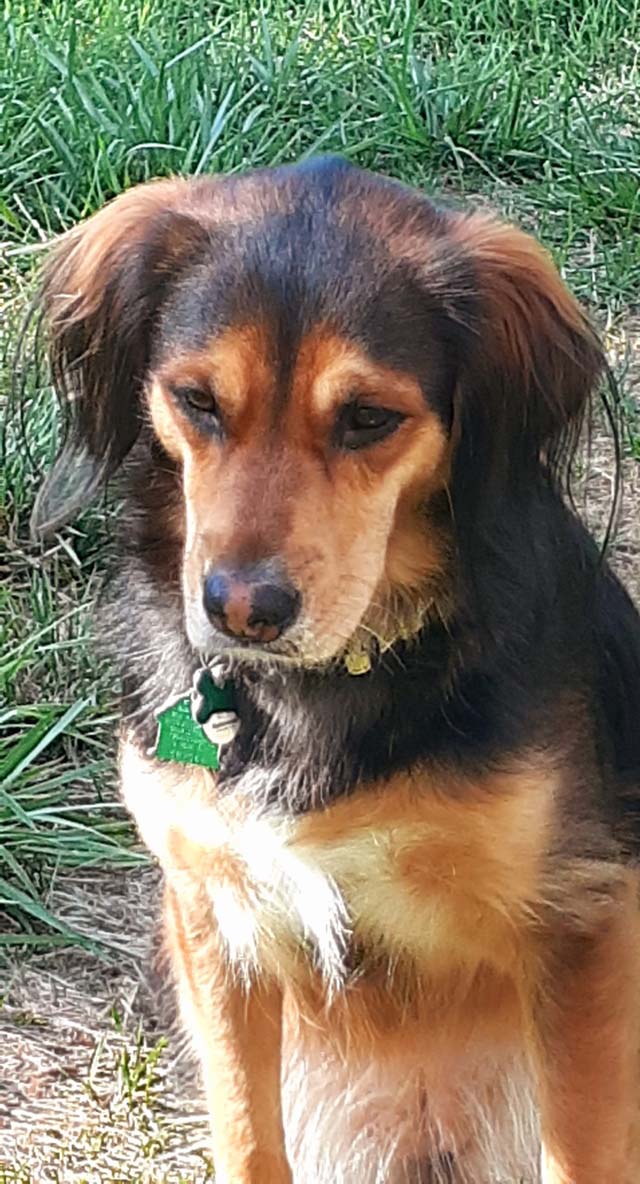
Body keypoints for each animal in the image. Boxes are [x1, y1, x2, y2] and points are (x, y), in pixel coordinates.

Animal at [30, 157, 640, 1182]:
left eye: (368, 418)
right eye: (197, 401)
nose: (241, 609)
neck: (324, 686)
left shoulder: (582, 920)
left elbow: (581, 1152)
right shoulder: (212, 918)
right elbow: (247, 1135)